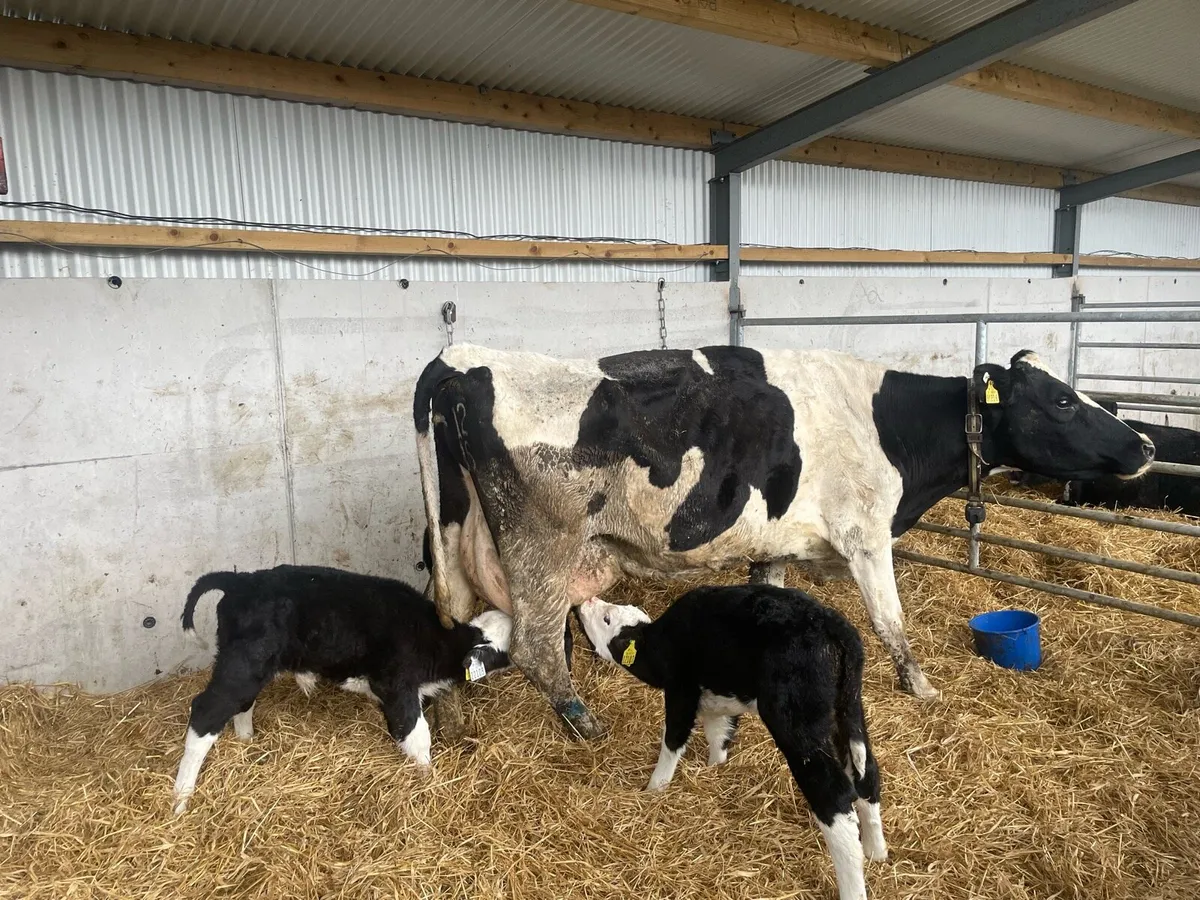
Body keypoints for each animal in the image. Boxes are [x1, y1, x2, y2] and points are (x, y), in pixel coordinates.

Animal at [171, 564, 513, 814]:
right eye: (513, 648)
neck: (435, 640)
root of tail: (240, 580)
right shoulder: (396, 685)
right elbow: (416, 737)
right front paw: (429, 781)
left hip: (251, 666)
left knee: (242, 704)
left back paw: (246, 742)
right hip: (242, 663)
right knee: (206, 711)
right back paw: (181, 799)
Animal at [413, 344, 1155, 740]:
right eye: (1062, 400)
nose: (1145, 445)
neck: (889, 425)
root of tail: (466, 359)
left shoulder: (772, 545)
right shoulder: (866, 535)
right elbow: (891, 620)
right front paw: (920, 686)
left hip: (457, 536)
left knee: (447, 619)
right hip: (541, 549)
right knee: (538, 646)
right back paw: (585, 723)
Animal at [576, 585, 886, 900]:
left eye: (606, 618)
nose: (585, 601)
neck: (660, 644)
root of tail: (833, 626)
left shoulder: (681, 690)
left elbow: (673, 739)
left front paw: (655, 788)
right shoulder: (716, 699)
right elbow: (719, 734)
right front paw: (715, 769)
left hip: (797, 721)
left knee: (834, 797)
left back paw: (853, 884)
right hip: (847, 710)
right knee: (866, 772)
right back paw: (876, 850)